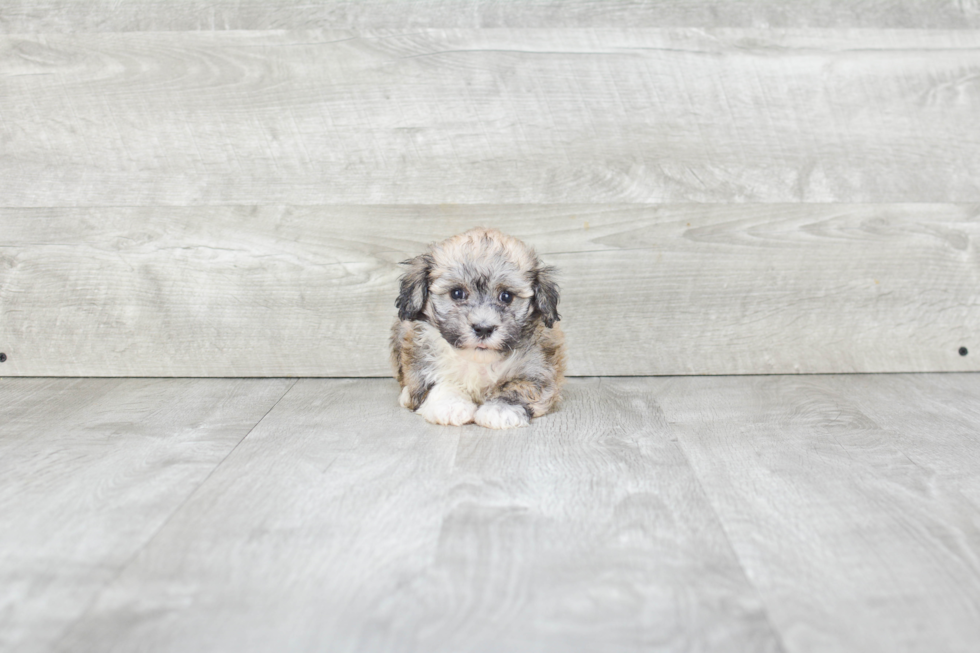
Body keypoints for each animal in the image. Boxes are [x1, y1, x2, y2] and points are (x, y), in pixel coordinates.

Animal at [386, 227, 564, 430]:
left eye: (506, 296)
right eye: (457, 293)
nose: (483, 329)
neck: (478, 361)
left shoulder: (538, 370)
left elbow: (520, 387)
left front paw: (501, 409)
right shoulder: (421, 365)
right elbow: (438, 384)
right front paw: (450, 406)